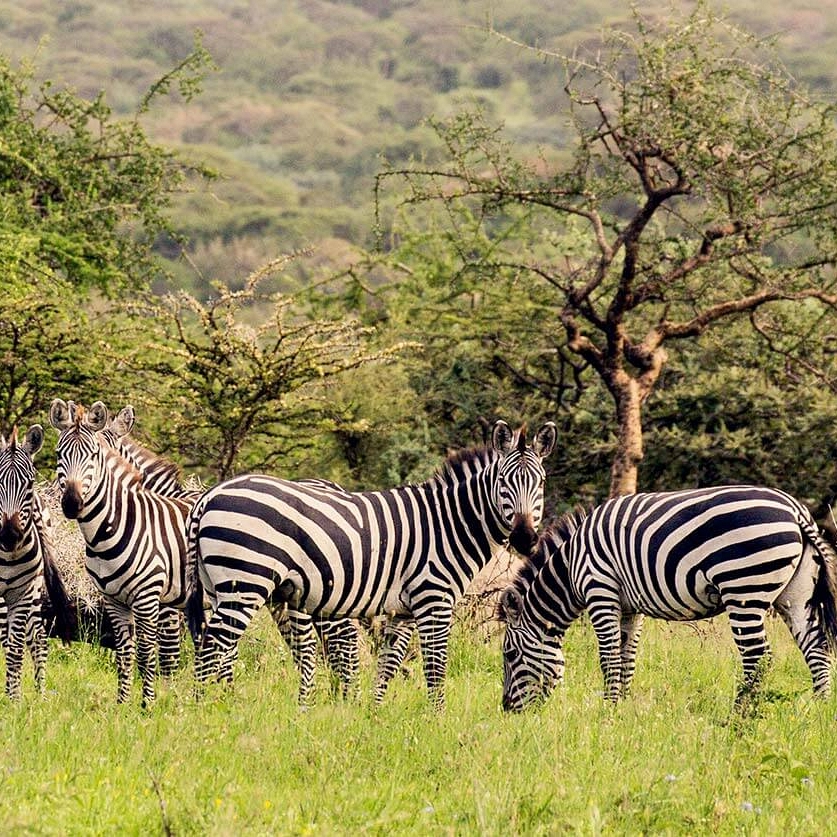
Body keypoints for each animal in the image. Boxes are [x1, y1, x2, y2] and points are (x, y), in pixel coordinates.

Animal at [0, 424, 75, 700]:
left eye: (29, 482)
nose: (9, 536)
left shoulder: (21, 593)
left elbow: (14, 649)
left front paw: (14, 699)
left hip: (35, 590)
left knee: (37, 637)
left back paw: (40, 693)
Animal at [49, 398, 199, 704]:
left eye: (97, 455)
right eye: (59, 453)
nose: (70, 502)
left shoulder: (163, 601)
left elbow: (163, 652)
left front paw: (161, 697)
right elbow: (129, 653)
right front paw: (125, 703)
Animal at [186, 418, 560, 704]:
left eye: (540, 483)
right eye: (503, 482)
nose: (524, 538)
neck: (448, 522)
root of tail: (210, 495)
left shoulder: (403, 610)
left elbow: (389, 664)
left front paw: (374, 713)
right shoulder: (434, 599)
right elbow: (436, 667)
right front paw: (437, 719)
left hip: (220, 587)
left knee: (216, 648)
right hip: (245, 583)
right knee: (212, 648)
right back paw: (204, 711)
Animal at [496, 486, 836, 708]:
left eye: (509, 654)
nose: (508, 709)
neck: (570, 566)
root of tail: (794, 509)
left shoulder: (600, 592)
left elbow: (608, 658)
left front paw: (607, 712)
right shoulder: (630, 607)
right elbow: (626, 658)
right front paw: (621, 709)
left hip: (743, 589)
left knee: (758, 657)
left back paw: (739, 717)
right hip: (795, 596)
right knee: (816, 652)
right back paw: (816, 714)